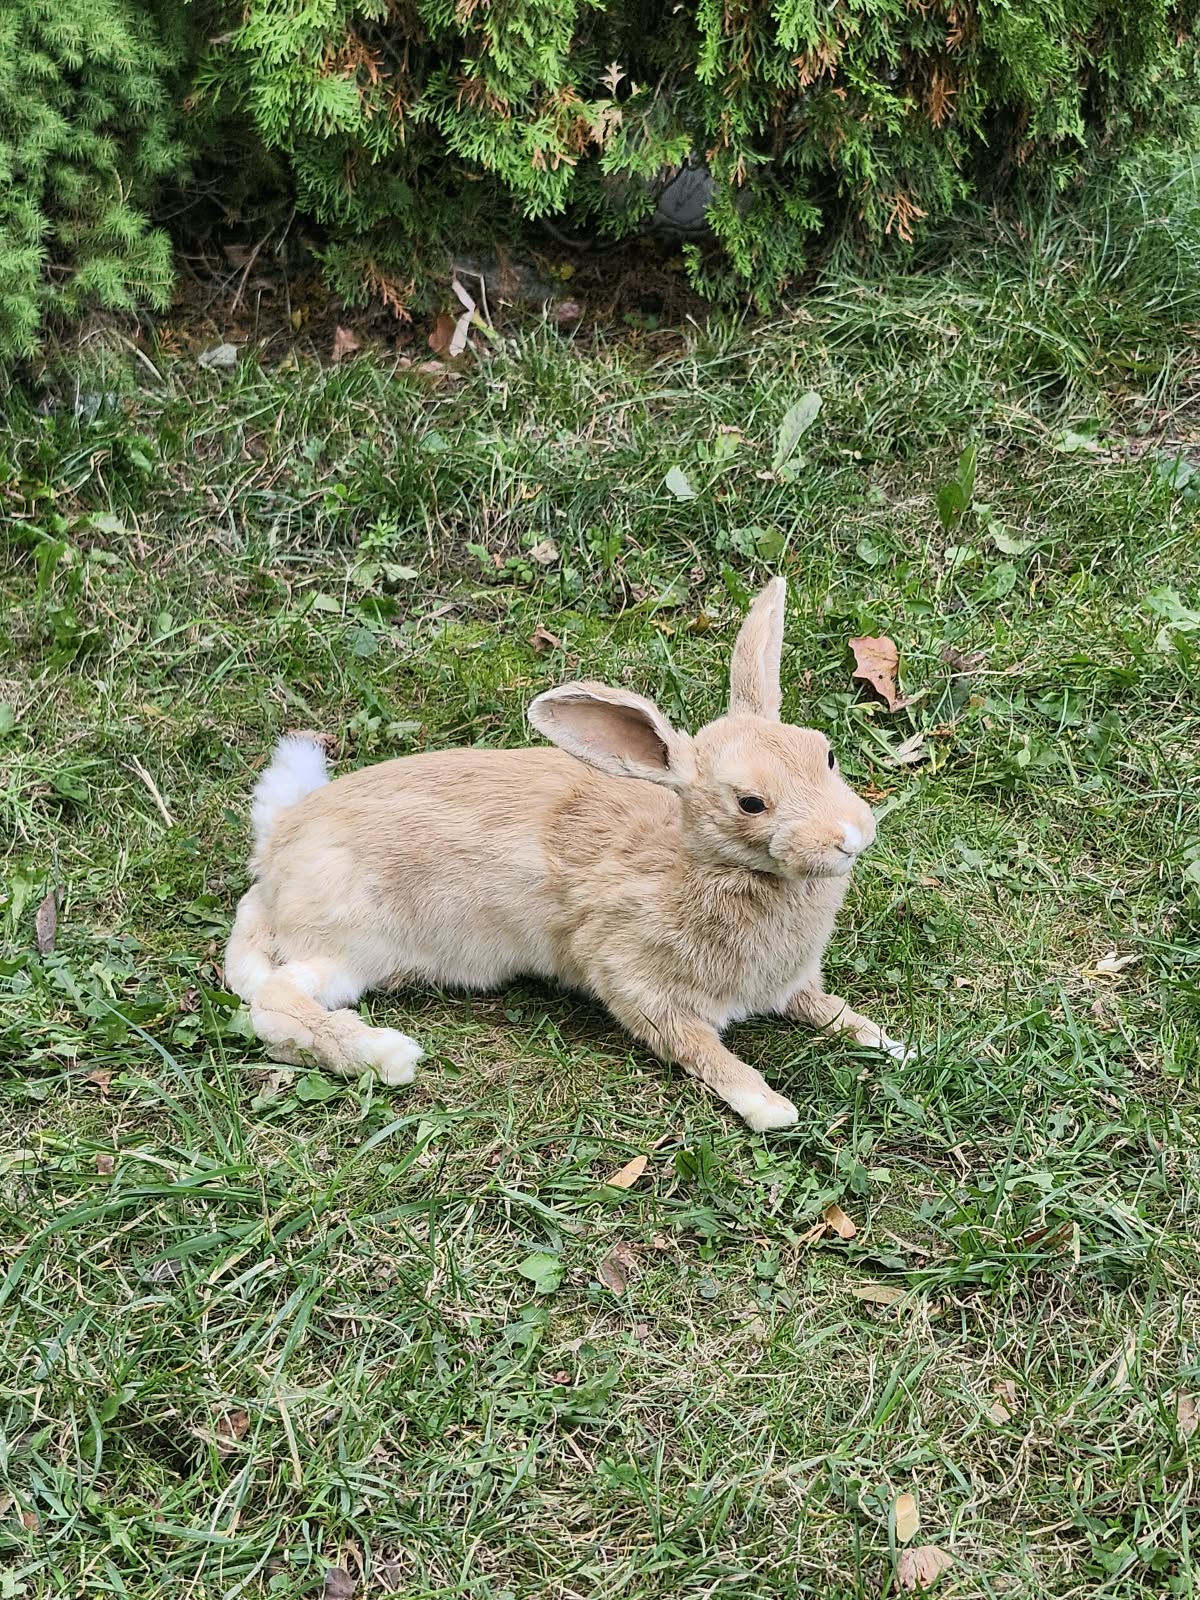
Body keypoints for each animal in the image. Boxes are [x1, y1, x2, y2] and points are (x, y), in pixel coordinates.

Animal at [225, 578, 911, 1131]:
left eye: (825, 754)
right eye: (750, 803)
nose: (851, 836)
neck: (700, 866)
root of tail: (281, 841)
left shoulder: (793, 984)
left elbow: (832, 1011)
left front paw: (892, 1045)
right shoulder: (642, 989)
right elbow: (705, 1052)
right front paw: (771, 1108)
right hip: (351, 944)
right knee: (273, 1005)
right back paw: (388, 1054)